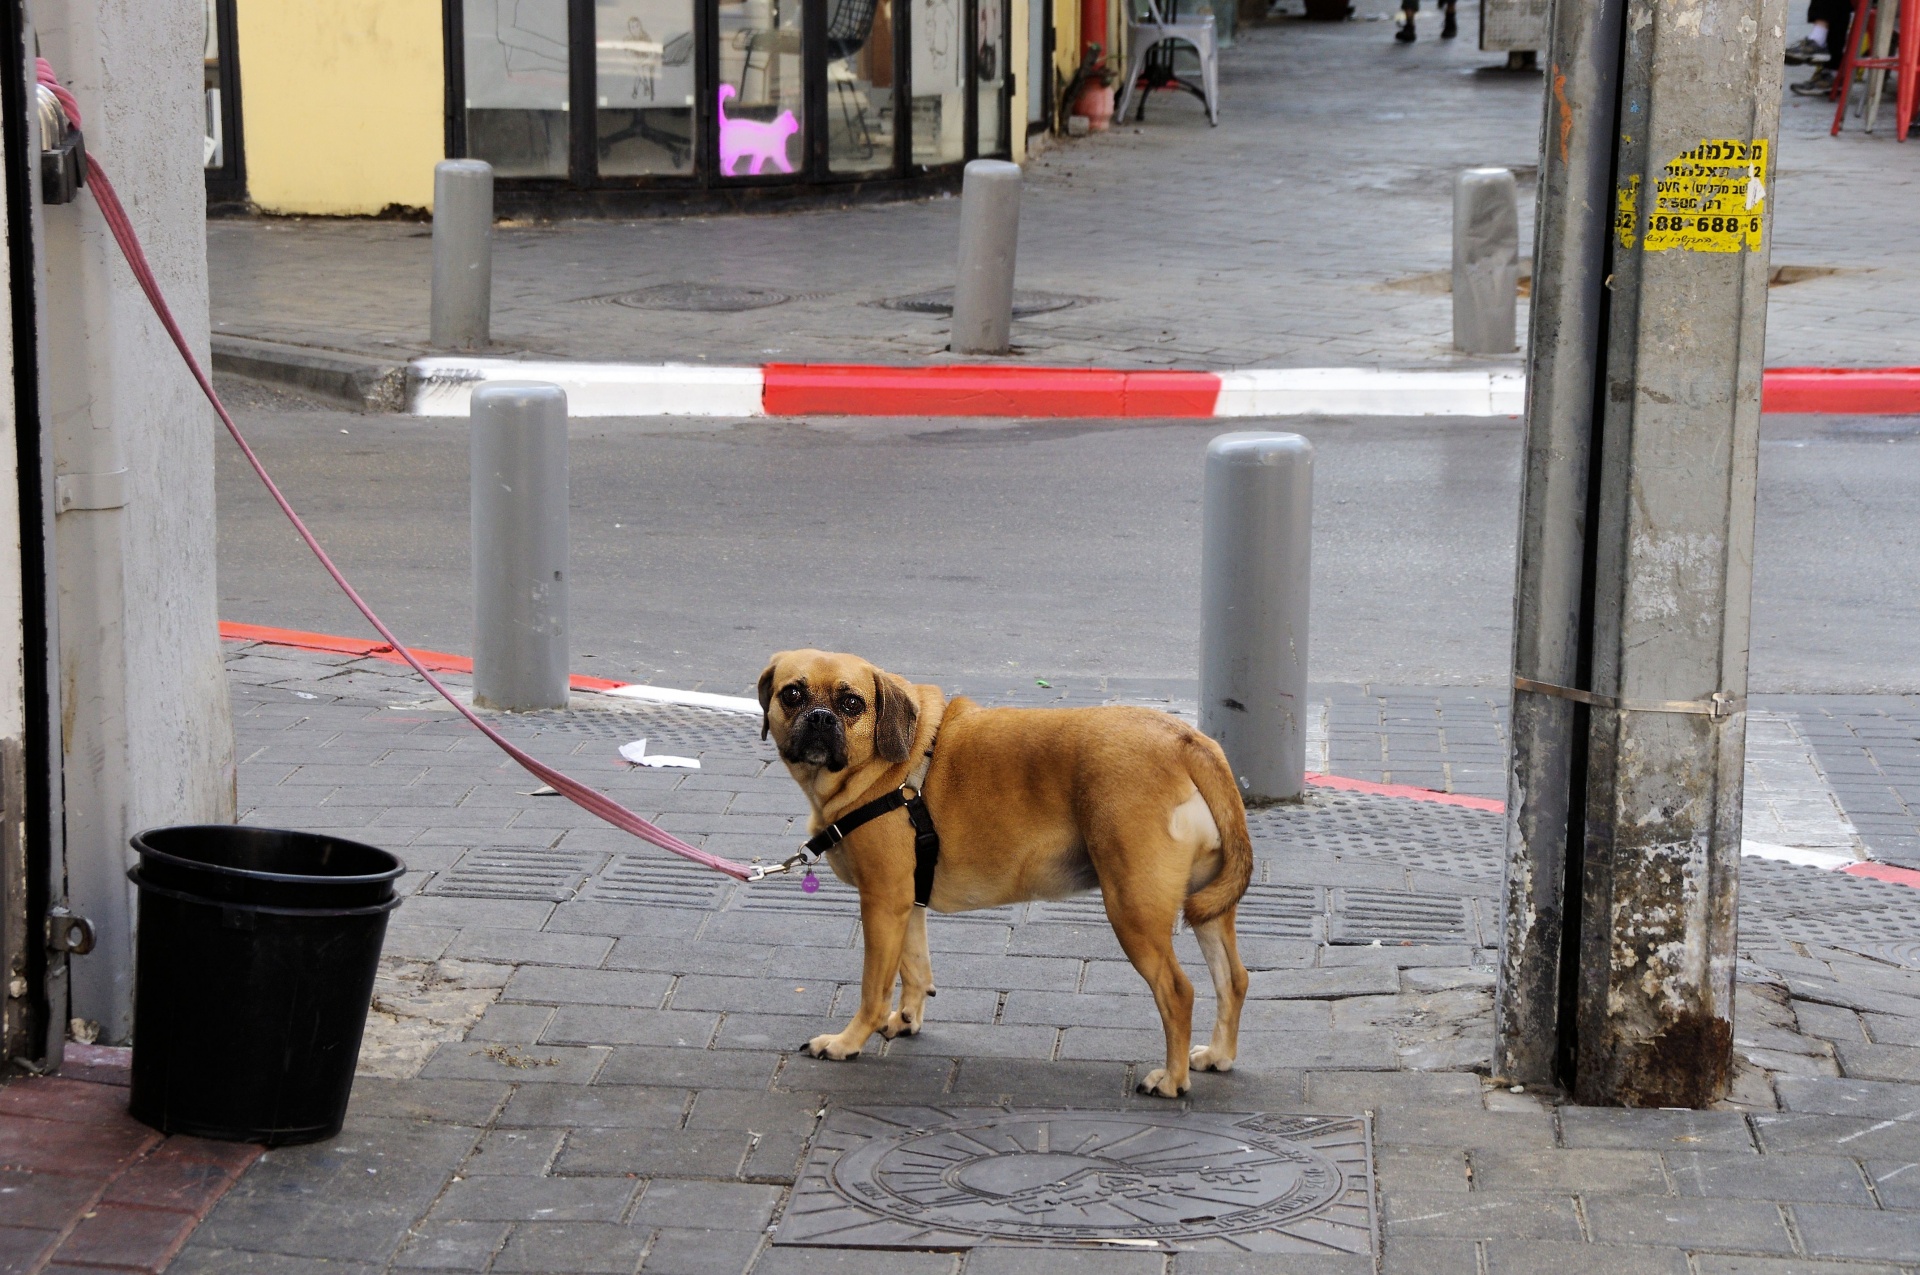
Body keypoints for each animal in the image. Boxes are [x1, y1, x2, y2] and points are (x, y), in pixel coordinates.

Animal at [756, 649, 1251, 1098]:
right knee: (1233, 979)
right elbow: (914, 968)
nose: (821, 718)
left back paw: (1171, 1081)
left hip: (1133, 912)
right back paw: (1219, 1055)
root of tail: (1188, 740)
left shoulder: (881, 902)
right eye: (792, 694)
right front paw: (908, 1017)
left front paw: (847, 1042)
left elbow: (873, 989)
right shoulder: (905, 904)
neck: (889, 769)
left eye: (852, 703)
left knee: (1178, 992)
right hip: (1208, 909)